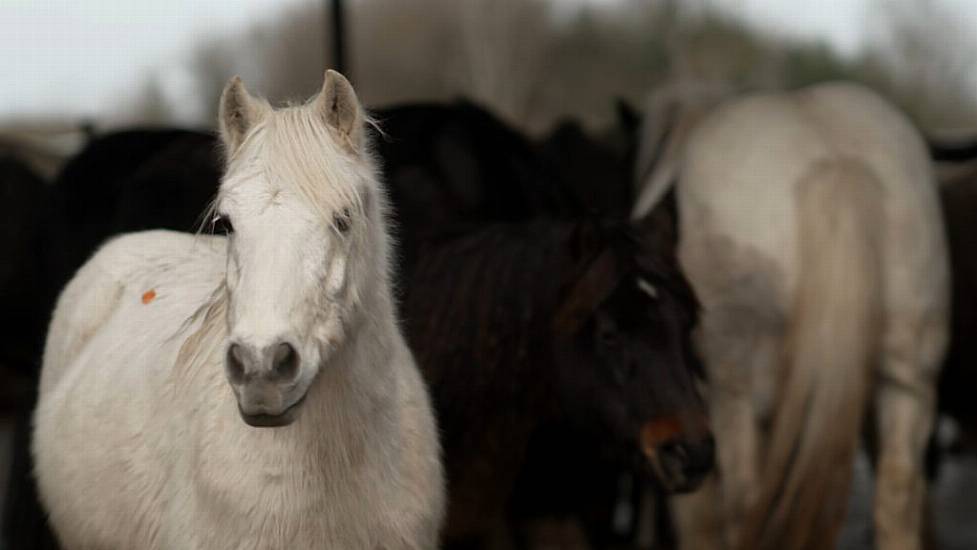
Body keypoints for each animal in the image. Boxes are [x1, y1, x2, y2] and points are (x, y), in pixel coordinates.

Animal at [632, 82, 944, 550]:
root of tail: (836, 162)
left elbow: (701, 518)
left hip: (736, 383)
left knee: (743, 500)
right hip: (909, 376)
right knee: (897, 495)